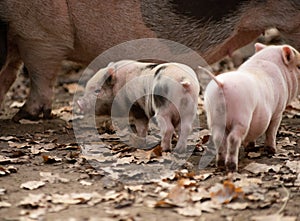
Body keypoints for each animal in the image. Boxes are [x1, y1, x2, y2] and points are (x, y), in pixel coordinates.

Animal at [204, 42, 300, 171]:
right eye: (299, 66)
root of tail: (222, 84)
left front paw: (250, 147)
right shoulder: (278, 112)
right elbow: (271, 131)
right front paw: (272, 151)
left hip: (214, 118)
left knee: (218, 138)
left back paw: (220, 165)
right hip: (241, 117)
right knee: (233, 138)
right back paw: (232, 167)